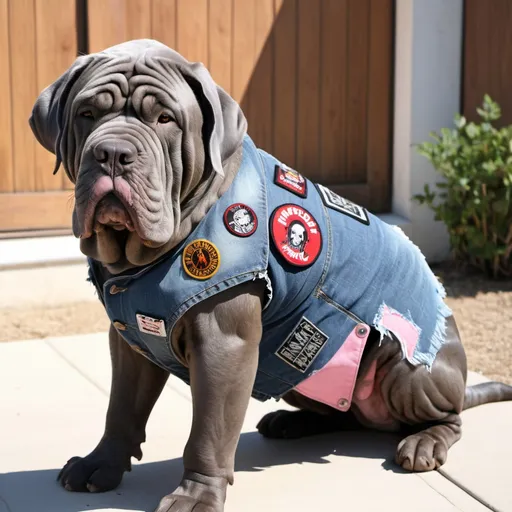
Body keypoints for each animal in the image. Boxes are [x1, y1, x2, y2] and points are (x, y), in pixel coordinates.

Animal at [31, 41, 512, 512]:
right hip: (301, 368)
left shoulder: (225, 345)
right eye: (87, 114)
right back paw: (291, 422)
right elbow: (121, 409)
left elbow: (208, 432)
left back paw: (424, 442)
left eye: (165, 119)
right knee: (341, 412)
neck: (141, 259)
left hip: (407, 371)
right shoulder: (131, 341)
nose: (112, 153)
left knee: (449, 415)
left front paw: (196, 496)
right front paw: (100, 465)